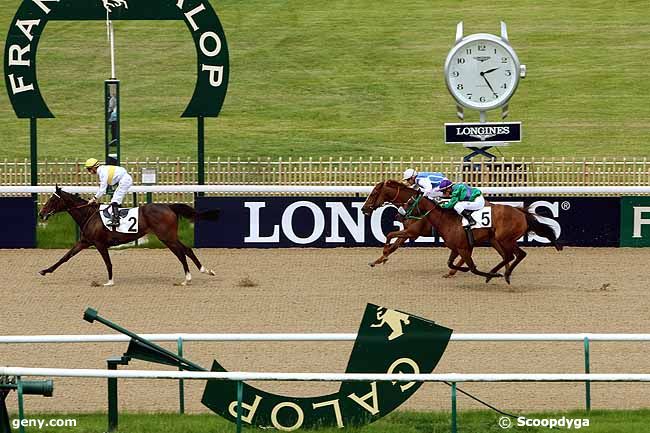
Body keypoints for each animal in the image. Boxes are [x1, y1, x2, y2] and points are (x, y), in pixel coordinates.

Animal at [38, 186, 220, 286]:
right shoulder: (85, 241)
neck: (89, 214)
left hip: (166, 237)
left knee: (181, 253)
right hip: (169, 236)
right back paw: (205, 271)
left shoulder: (99, 243)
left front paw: (109, 282)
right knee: (187, 249)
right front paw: (45, 270)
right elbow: (65, 257)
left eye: (52, 200)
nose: (41, 213)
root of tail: (169, 206)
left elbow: (108, 263)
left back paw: (187, 278)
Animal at [360, 180, 560, 284]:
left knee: (513, 255)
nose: (364, 209)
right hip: (495, 240)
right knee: (508, 256)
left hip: (503, 239)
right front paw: (379, 259)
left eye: (374, 193)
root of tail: (520, 212)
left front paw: (383, 256)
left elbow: (390, 236)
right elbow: (393, 243)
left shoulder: (412, 232)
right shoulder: (410, 232)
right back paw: (500, 273)